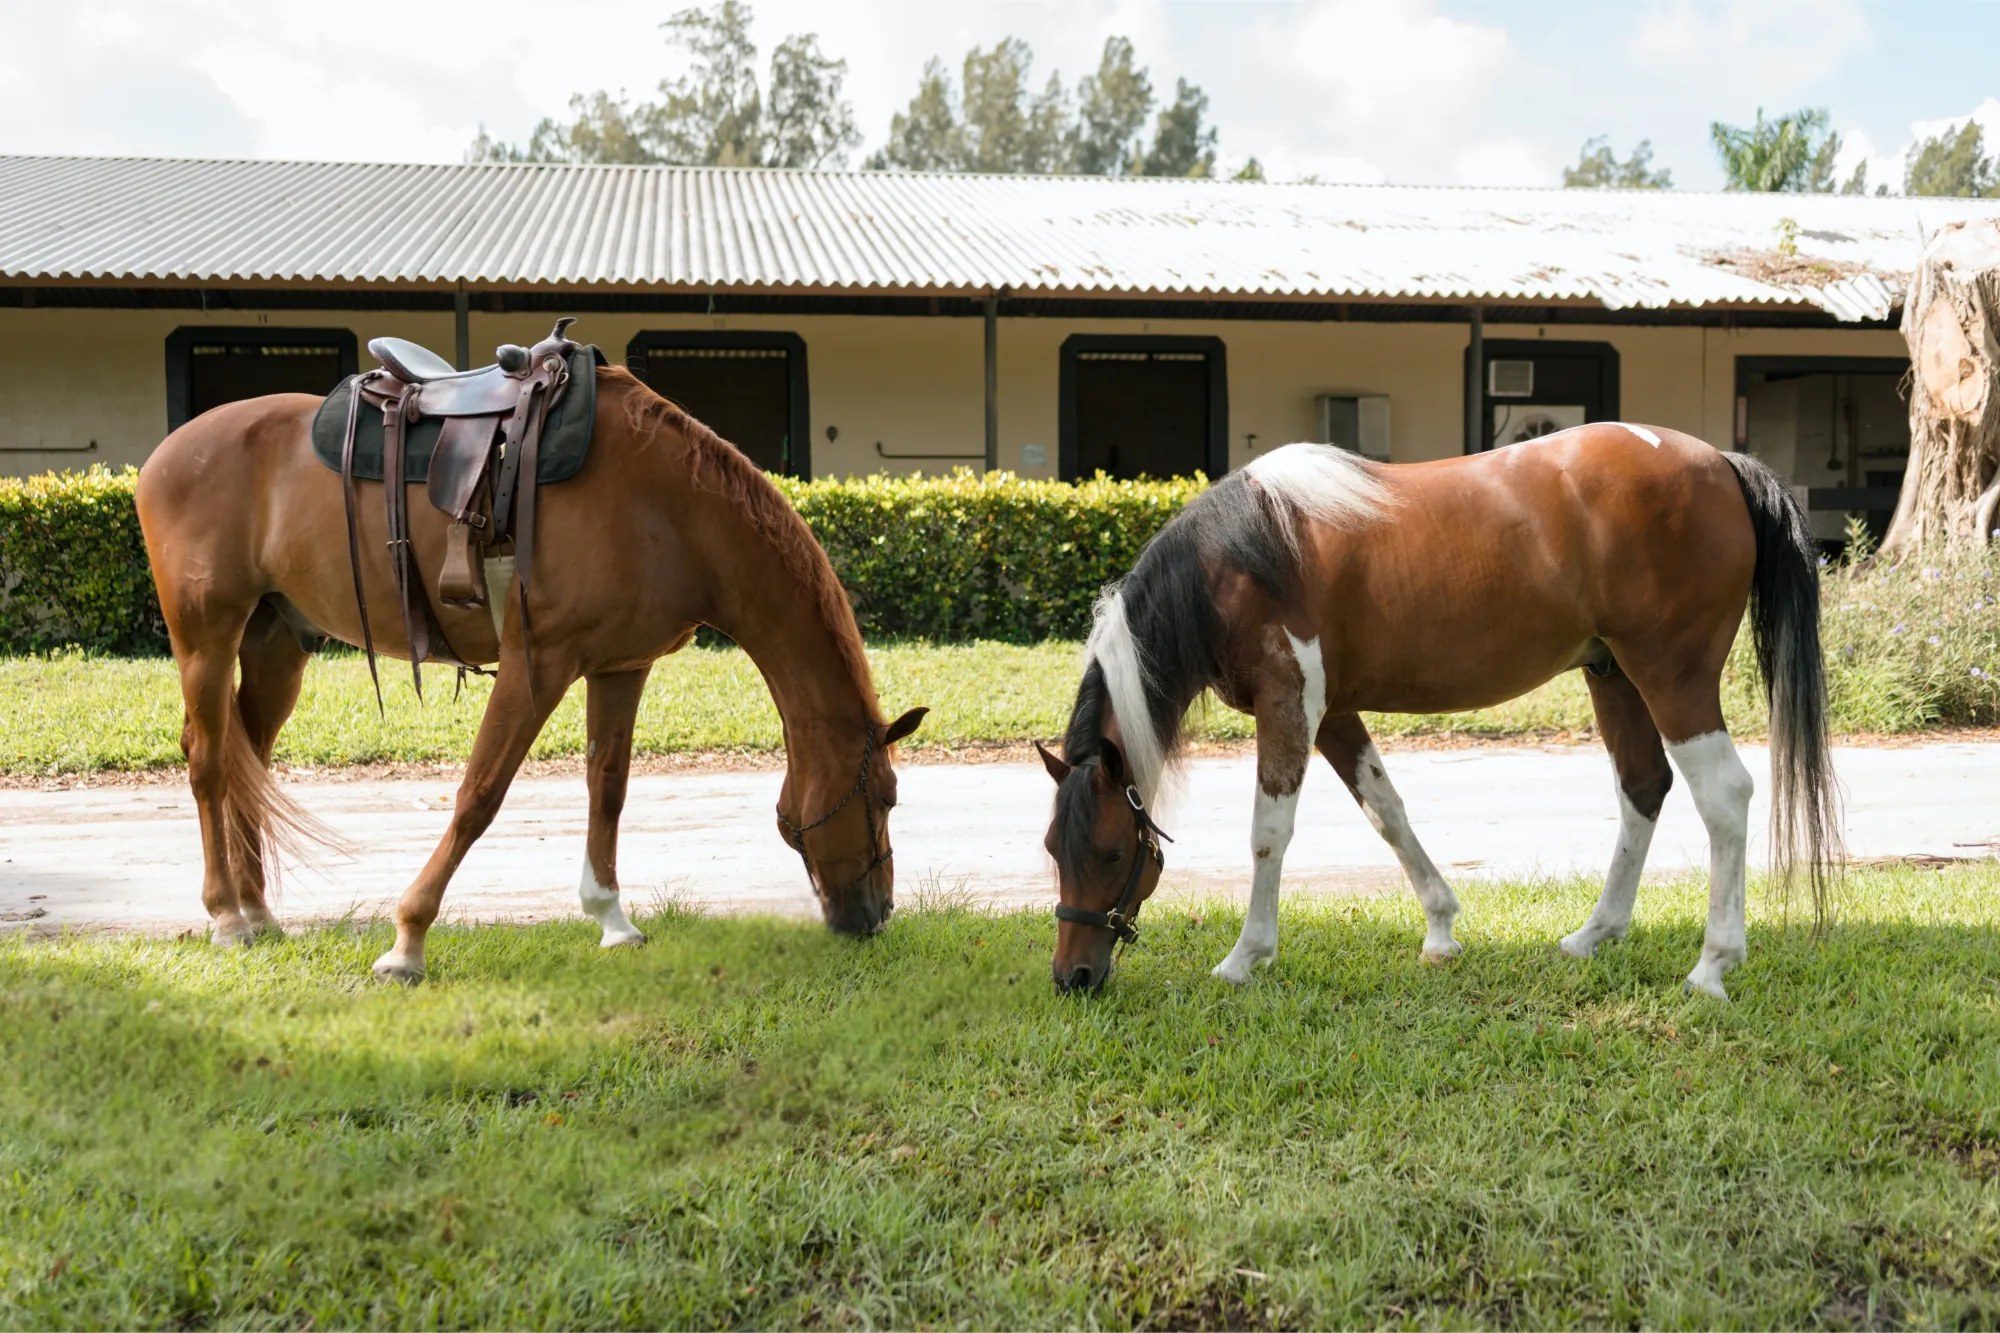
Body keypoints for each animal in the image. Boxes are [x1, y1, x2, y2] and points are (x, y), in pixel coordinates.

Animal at [137, 357, 925, 981]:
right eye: (886, 797)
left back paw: (258, 911)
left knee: (250, 757)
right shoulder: (537, 662)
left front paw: (612, 918)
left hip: (276, 643)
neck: (669, 508)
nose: (877, 914)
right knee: (209, 760)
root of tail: (166, 455)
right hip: (207, 638)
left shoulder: (620, 667)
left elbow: (608, 787)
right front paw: (407, 941)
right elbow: (479, 795)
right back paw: (225, 916)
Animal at [1038, 426, 1840, 1001]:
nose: (1073, 977)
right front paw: (1441, 931)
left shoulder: (1288, 702)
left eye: (1111, 853)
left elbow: (1269, 832)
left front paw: (1245, 956)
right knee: (1643, 787)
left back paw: (1712, 967)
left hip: (1672, 677)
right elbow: (1387, 811)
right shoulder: (1334, 713)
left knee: (1724, 796)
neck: (1237, 560)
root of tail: (1722, 464)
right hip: (1613, 674)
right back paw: (1593, 935)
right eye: (1052, 849)